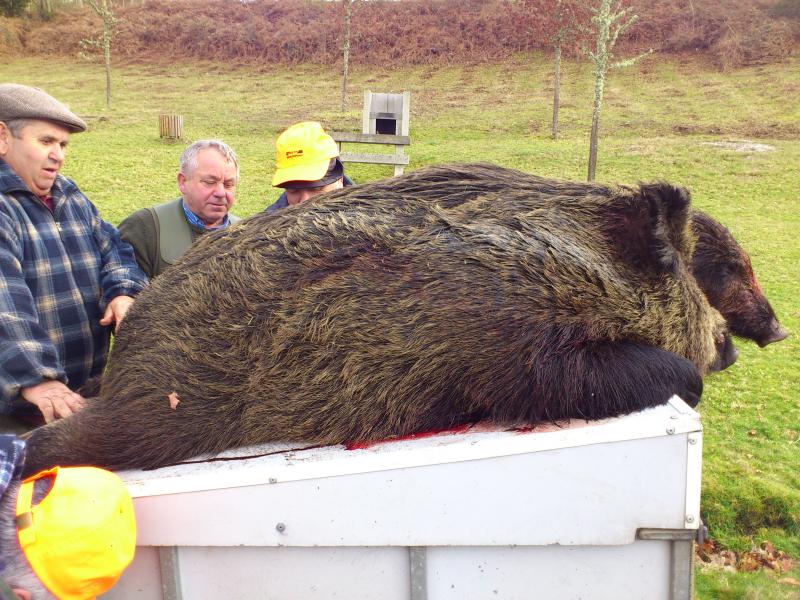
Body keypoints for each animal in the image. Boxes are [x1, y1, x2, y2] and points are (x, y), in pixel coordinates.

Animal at [22, 163, 736, 475]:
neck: (584, 268)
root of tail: (130, 342)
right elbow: (647, 373)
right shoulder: (518, 351)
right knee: (52, 446)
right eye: (686, 274)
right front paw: (690, 376)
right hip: (161, 415)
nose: (730, 343)